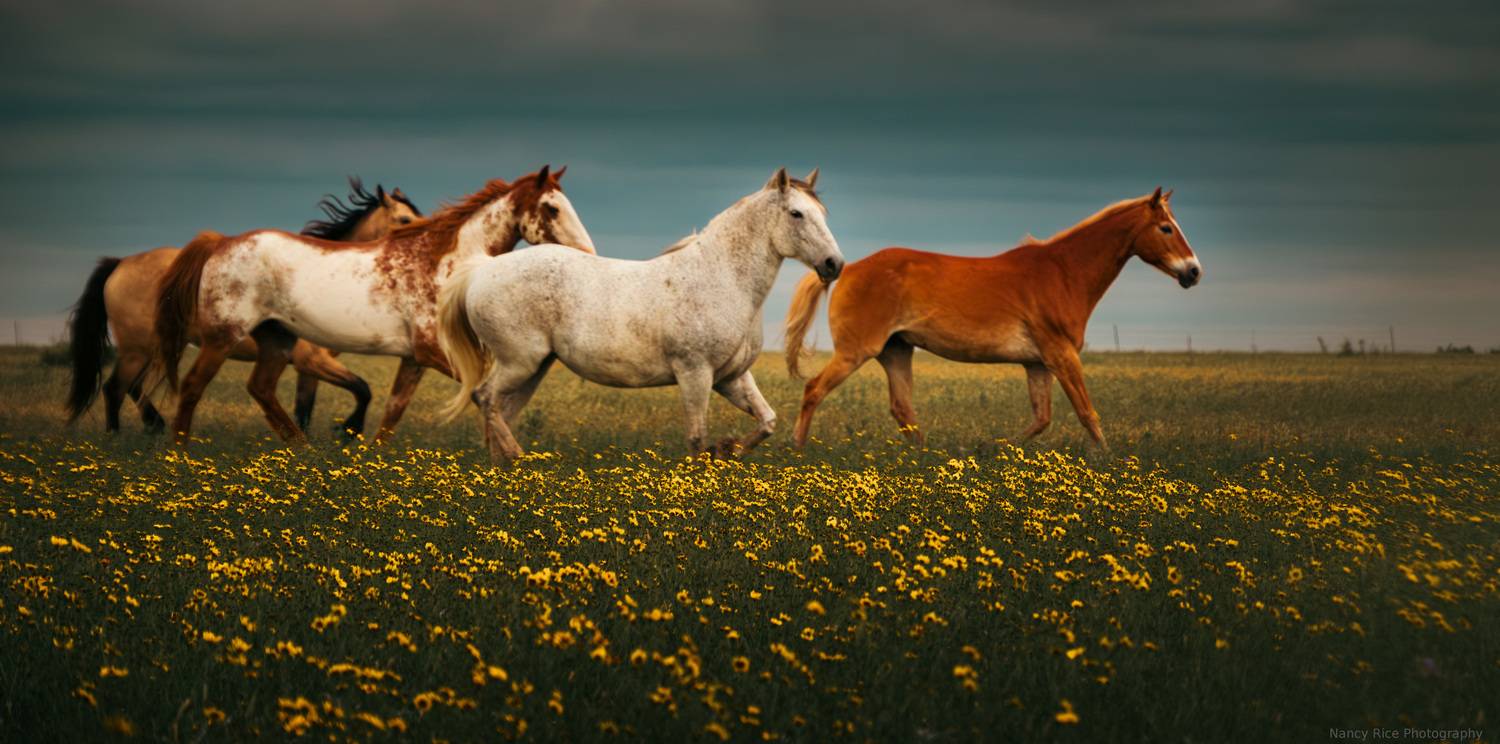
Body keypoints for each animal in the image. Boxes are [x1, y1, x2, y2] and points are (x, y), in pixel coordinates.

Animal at [65, 178, 422, 436]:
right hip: (138, 349)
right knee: (115, 389)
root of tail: (120, 263)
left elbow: (307, 408)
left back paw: (154, 426)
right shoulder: (311, 360)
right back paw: (117, 438)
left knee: (132, 388)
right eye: (405, 218)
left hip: (156, 347)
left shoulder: (307, 367)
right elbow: (361, 389)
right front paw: (347, 431)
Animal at [155, 166, 595, 444]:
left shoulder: (414, 359)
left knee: (261, 390)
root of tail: (220, 242)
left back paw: (305, 452)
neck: (445, 263)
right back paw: (181, 455)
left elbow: (392, 412)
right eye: (552, 207)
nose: (587, 253)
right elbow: (479, 395)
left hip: (277, 340)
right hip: (222, 337)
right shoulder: (433, 353)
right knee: (192, 388)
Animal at [437, 168, 843, 461]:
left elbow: (767, 421)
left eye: (823, 213)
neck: (722, 278)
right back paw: (519, 458)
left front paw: (728, 449)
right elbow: (697, 438)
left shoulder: (731, 377)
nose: (834, 264)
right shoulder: (695, 373)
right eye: (796, 213)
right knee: (485, 398)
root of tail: (481, 270)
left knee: (499, 412)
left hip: (534, 368)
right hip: (519, 362)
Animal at [784, 188, 1201, 450]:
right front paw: (1109, 460)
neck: (1064, 273)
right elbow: (1087, 413)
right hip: (856, 351)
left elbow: (1042, 418)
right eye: (1166, 228)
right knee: (813, 390)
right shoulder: (1062, 356)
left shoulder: (1037, 364)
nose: (1194, 271)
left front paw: (991, 449)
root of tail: (848, 268)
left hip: (896, 352)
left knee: (902, 410)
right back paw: (799, 450)